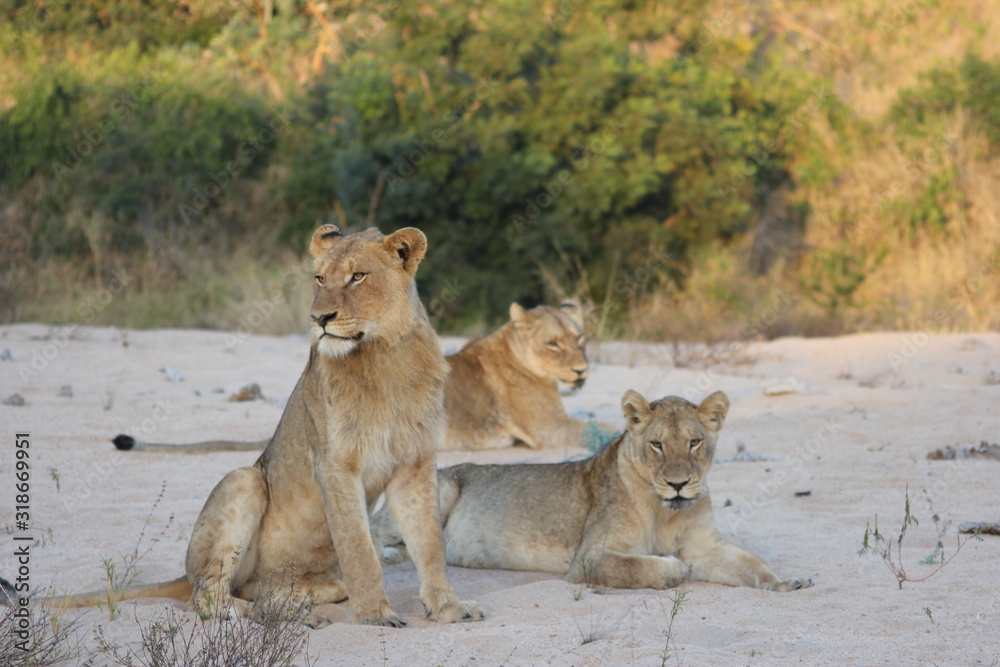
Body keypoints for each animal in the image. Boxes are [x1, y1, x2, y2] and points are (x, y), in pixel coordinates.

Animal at [39, 226, 484, 628]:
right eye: (319, 279)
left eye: (358, 276)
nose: (319, 318)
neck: (385, 354)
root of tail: (183, 572)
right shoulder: (335, 464)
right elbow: (360, 551)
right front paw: (377, 615)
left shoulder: (415, 461)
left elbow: (429, 543)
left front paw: (449, 608)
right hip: (245, 480)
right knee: (208, 597)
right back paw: (284, 615)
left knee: (261, 588)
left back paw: (290, 601)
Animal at [371, 389, 813, 592]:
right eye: (657, 444)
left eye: (694, 442)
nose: (678, 484)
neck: (665, 510)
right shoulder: (589, 559)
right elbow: (646, 566)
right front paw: (669, 565)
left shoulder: (705, 548)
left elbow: (752, 563)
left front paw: (785, 582)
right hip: (440, 486)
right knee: (374, 536)